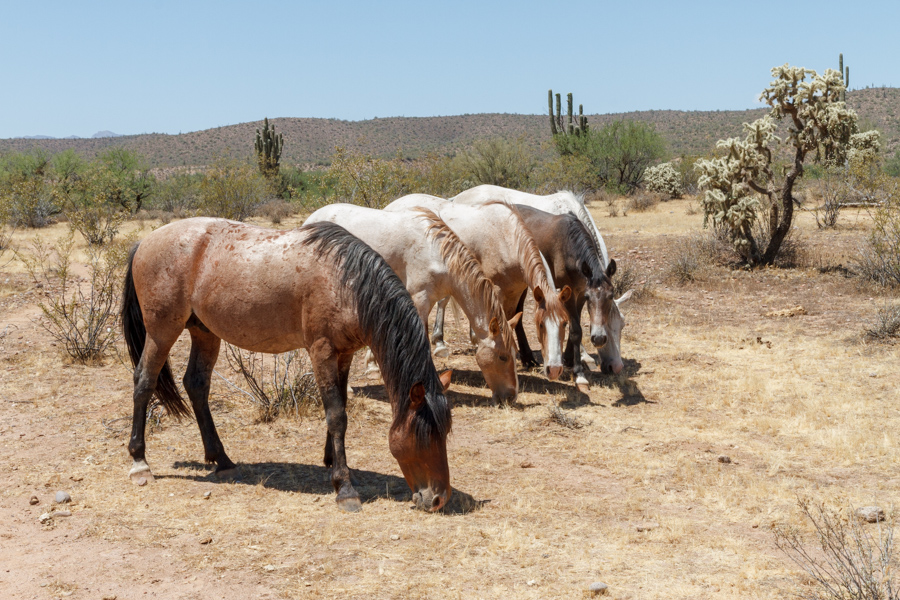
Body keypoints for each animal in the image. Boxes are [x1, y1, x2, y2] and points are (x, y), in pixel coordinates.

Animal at [123, 218, 454, 512]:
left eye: (445, 433)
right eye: (423, 435)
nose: (439, 499)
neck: (346, 281)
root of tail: (144, 241)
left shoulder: (344, 353)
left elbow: (341, 405)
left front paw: (332, 462)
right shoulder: (321, 351)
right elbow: (336, 415)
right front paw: (344, 487)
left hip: (204, 332)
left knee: (196, 385)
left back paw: (222, 460)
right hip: (162, 331)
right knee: (144, 381)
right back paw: (140, 463)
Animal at [304, 204, 520, 406]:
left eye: (515, 354)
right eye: (502, 357)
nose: (511, 397)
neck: (435, 252)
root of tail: (310, 220)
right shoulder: (420, 300)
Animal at [384, 195, 568, 380]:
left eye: (565, 323)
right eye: (540, 324)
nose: (554, 369)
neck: (505, 237)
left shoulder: (514, 293)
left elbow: (511, 320)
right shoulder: (495, 290)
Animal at [450, 186, 632, 376]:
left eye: (621, 325)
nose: (616, 366)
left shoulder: (581, 290)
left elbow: (576, 325)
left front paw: (570, 358)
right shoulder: (567, 289)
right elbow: (575, 327)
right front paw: (578, 363)